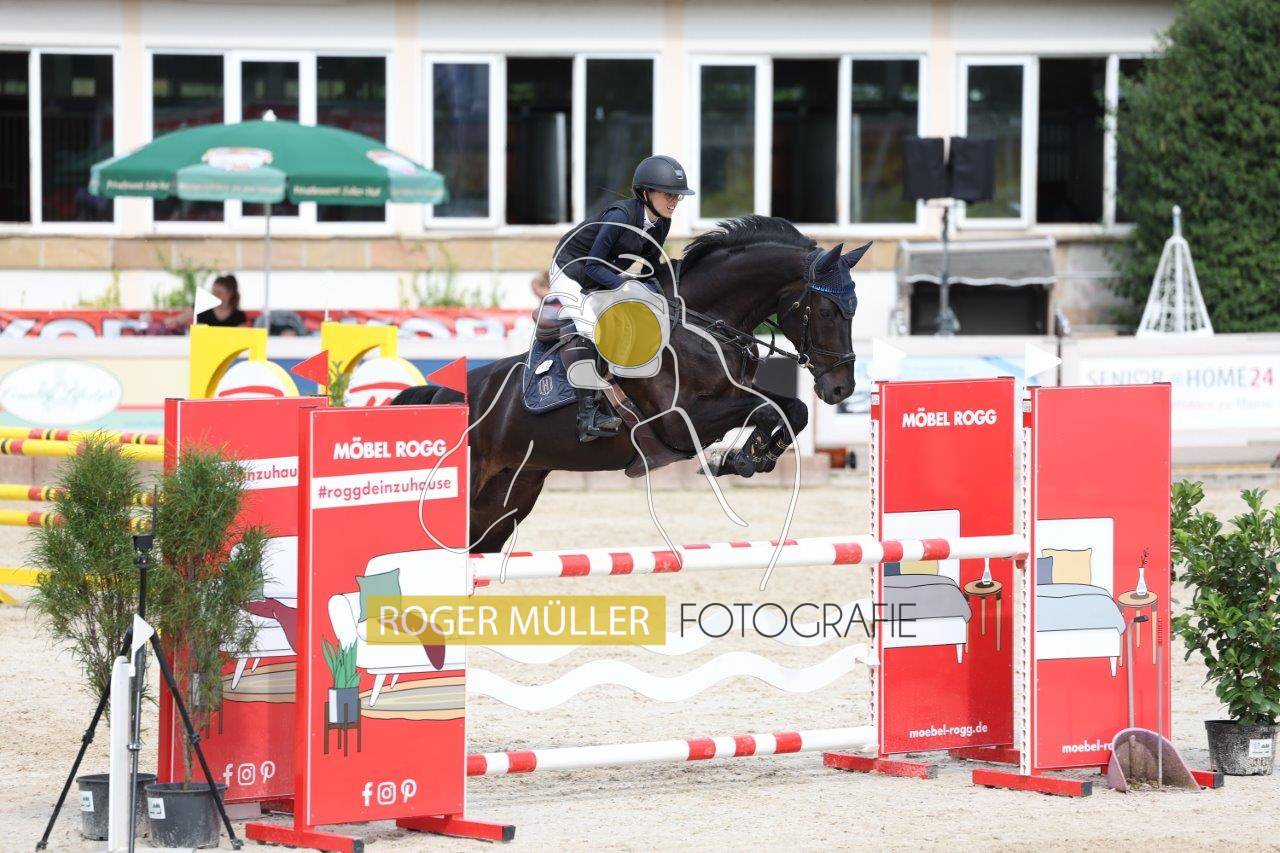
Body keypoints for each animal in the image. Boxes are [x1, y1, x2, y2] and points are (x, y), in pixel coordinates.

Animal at [393, 216, 867, 554]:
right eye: (828, 311)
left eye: (854, 308)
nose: (841, 389)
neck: (701, 326)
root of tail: (441, 393)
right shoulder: (681, 422)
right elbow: (770, 409)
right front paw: (742, 456)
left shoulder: (732, 397)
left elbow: (790, 409)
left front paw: (748, 457)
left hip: (506, 498)